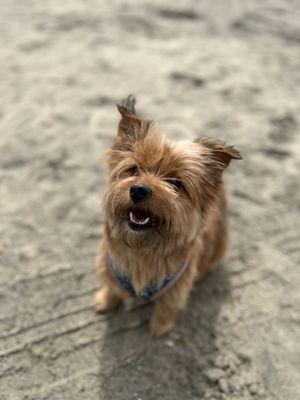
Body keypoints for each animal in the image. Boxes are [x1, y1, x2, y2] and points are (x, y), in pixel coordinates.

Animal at [92, 95, 241, 336]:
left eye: (175, 183)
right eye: (134, 169)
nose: (139, 190)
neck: (142, 249)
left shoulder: (178, 286)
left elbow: (167, 306)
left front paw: (159, 327)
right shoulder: (109, 264)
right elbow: (112, 287)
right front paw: (105, 301)